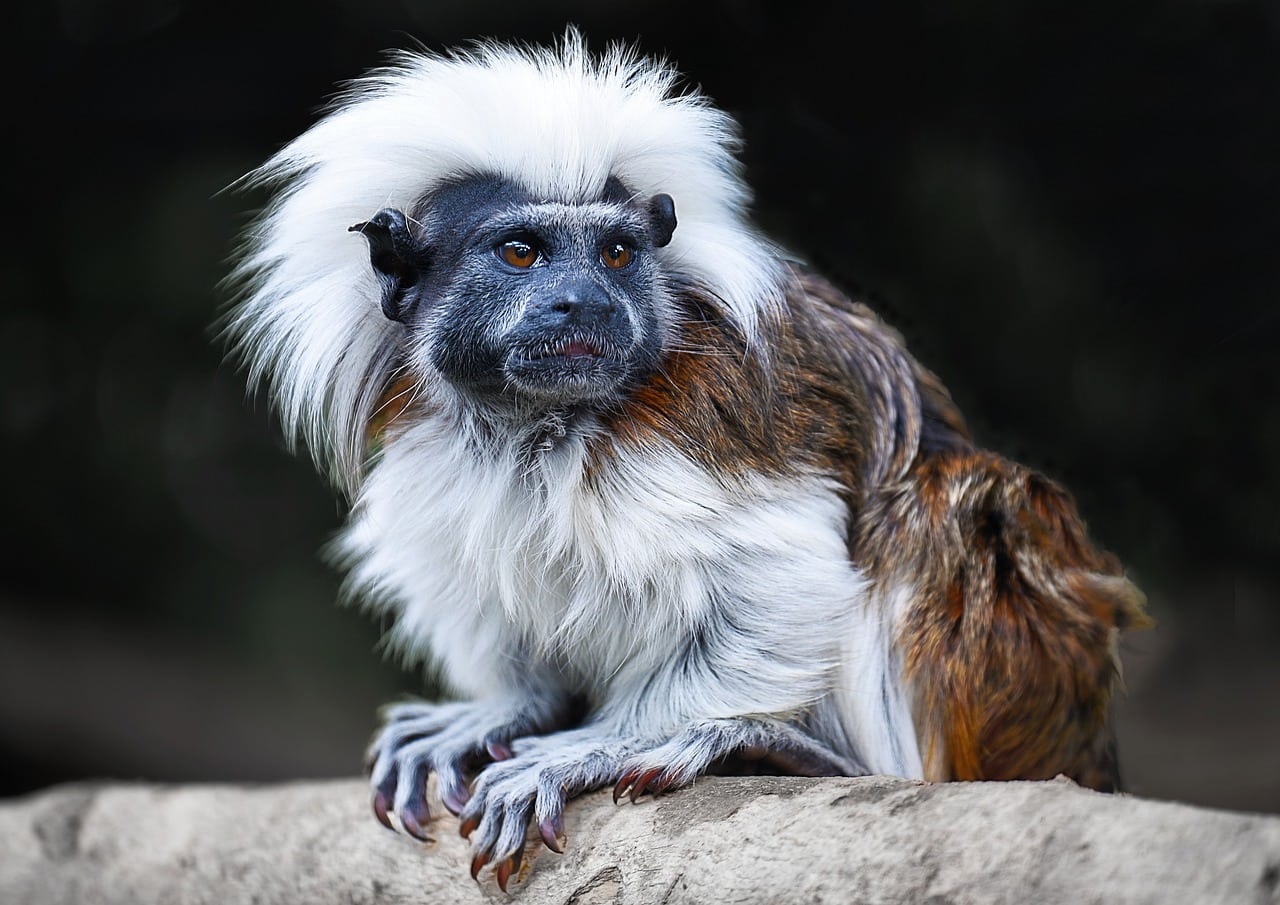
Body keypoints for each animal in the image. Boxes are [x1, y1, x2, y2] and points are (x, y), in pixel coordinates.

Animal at [223, 30, 1151, 891]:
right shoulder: (434, 437)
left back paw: (789, 750)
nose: (585, 302)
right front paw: (504, 709)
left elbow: (783, 576)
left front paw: (597, 744)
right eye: (520, 251)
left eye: (616, 254)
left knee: (955, 505)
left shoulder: (707, 418)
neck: (540, 426)